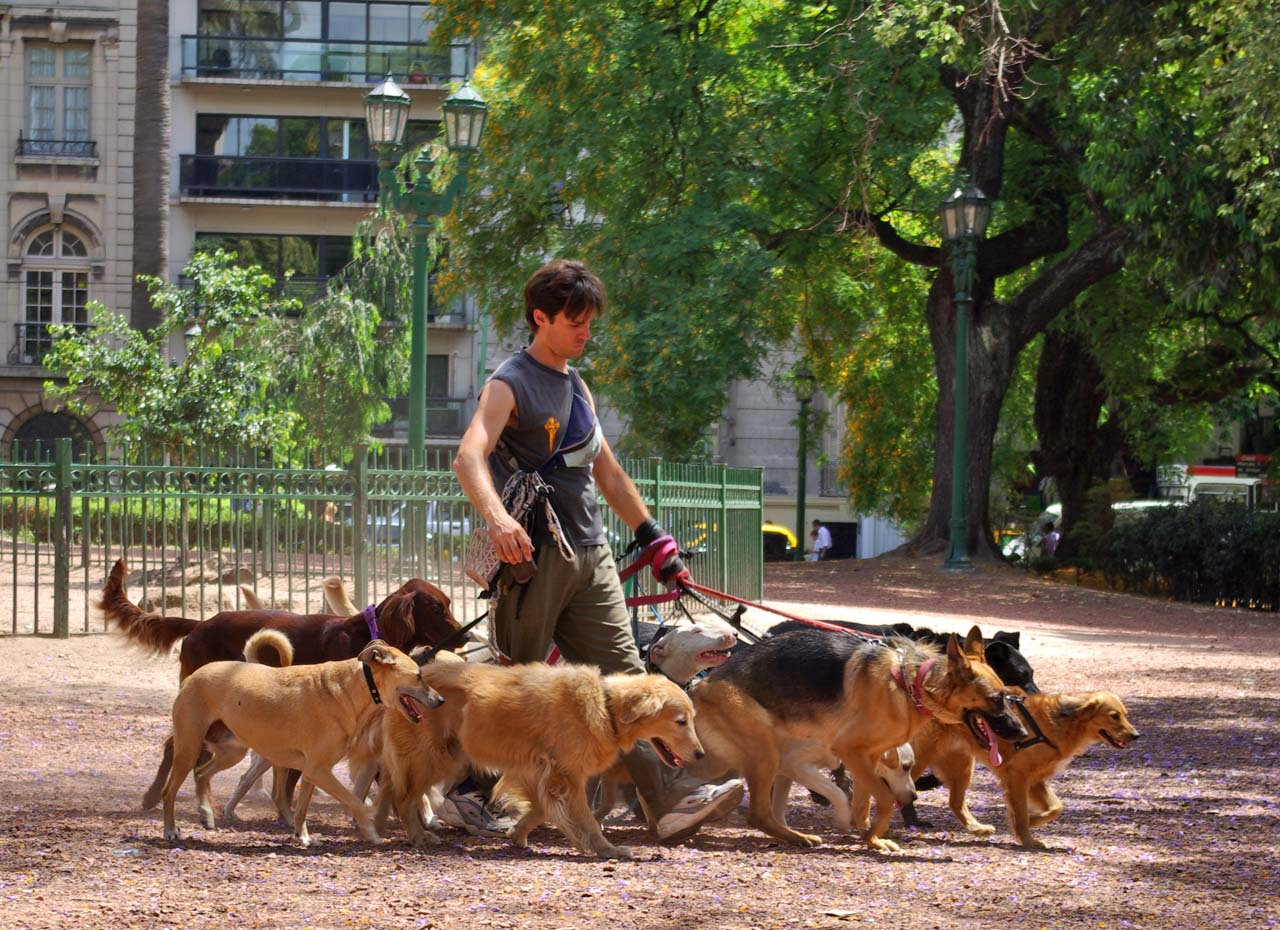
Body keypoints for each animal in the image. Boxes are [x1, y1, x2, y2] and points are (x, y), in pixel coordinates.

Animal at [98, 557, 460, 813]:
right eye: (436, 608)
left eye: (449, 604)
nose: (465, 635)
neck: (365, 636)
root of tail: (199, 623)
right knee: (176, 747)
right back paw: (154, 798)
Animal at [160, 639, 445, 849]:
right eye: (418, 675)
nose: (441, 700)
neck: (352, 690)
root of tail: (192, 677)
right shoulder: (320, 770)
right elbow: (355, 801)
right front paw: (371, 832)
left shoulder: (311, 771)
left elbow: (302, 809)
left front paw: (303, 837)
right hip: (189, 747)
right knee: (169, 790)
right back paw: (171, 830)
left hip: (232, 751)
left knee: (201, 773)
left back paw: (207, 816)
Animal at [373, 660, 706, 859]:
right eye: (680, 721)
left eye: (692, 718)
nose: (701, 754)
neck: (606, 704)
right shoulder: (567, 777)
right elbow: (586, 819)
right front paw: (605, 850)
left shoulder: (540, 773)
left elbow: (541, 811)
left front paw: (517, 834)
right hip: (430, 759)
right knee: (404, 800)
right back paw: (419, 836)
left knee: (398, 796)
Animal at [686, 626, 1024, 849]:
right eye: (996, 699)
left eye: (1007, 696)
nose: (1021, 733)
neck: (910, 685)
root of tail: (700, 687)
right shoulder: (850, 751)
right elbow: (883, 799)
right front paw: (875, 838)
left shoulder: (867, 758)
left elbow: (864, 801)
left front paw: (867, 834)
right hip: (765, 754)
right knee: (758, 813)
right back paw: (799, 837)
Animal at [911, 685, 1141, 849]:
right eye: (1114, 716)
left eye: (1125, 714)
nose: (1136, 735)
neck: (1061, 723)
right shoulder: (1018, 776)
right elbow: (1021, 813)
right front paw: (1027, 837)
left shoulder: (1036, 779)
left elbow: (1056, 807)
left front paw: (1033, 821)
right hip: (920, 762)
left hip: (963, 766)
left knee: (955, 802)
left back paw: (977, 828)